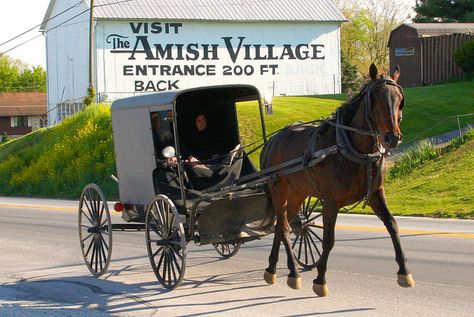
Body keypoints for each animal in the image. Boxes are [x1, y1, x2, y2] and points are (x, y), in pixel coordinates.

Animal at [260, 63, 414, 296]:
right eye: (375, 99)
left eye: (399, 99)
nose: (392, 137)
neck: (352, 147)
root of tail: (271, 141)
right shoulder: (331, 202)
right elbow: (328, 241)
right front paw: (320, 280)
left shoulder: (376, 194)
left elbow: (392, 225)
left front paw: (404, 271)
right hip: (278, 189)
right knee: (285, 228)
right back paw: (294, 273)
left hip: (297, 192)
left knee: (281, 225)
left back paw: (272, 269)